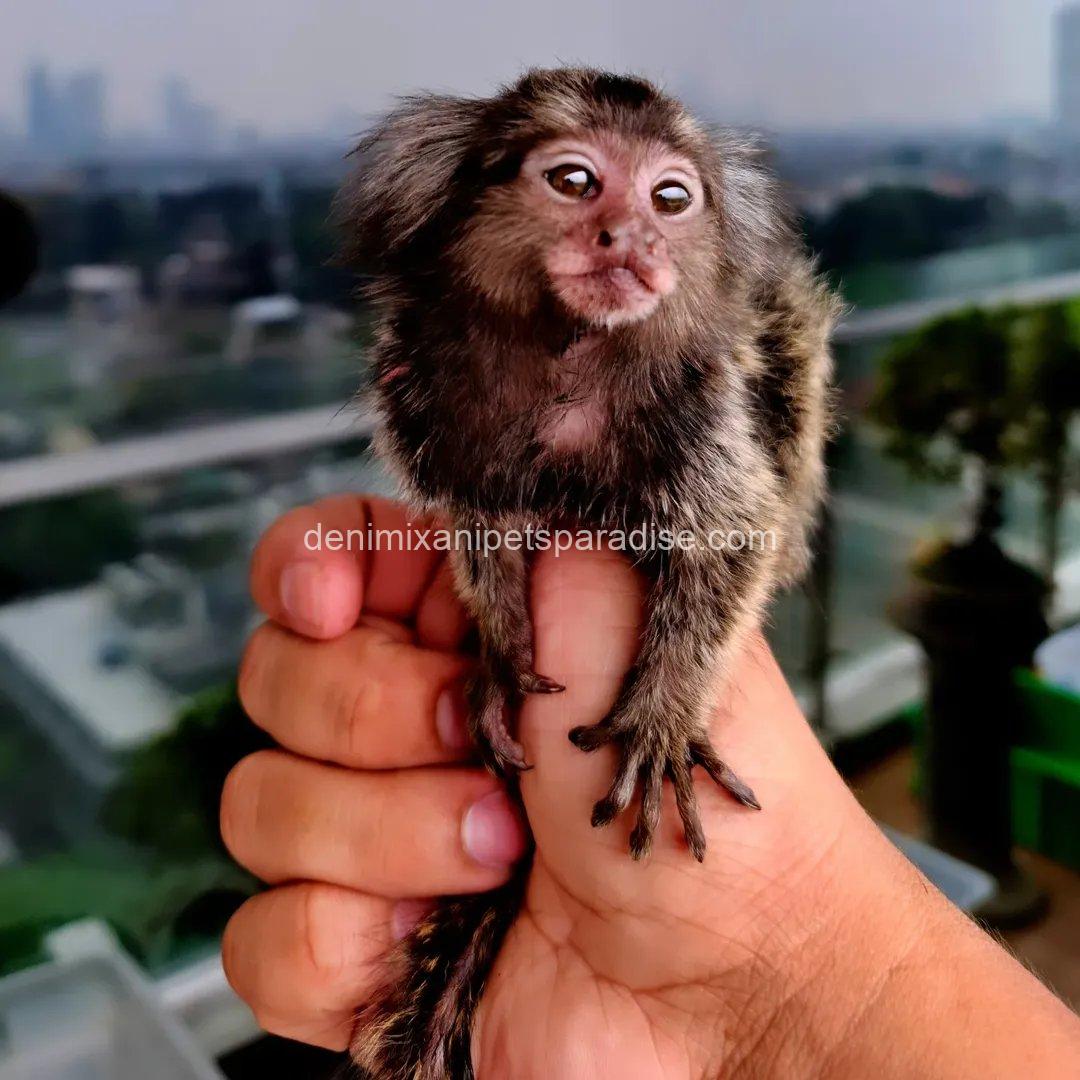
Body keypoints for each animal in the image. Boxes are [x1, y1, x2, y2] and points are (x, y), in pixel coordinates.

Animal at [335, 67, 837, 1079]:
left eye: (670, 199)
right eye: (574, 181)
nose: (630, 239)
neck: (569, 356)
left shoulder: (704, 411)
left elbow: (735, 537)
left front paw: (661, 718)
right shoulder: (431, 402)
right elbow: (483, 528)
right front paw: (501, 651)